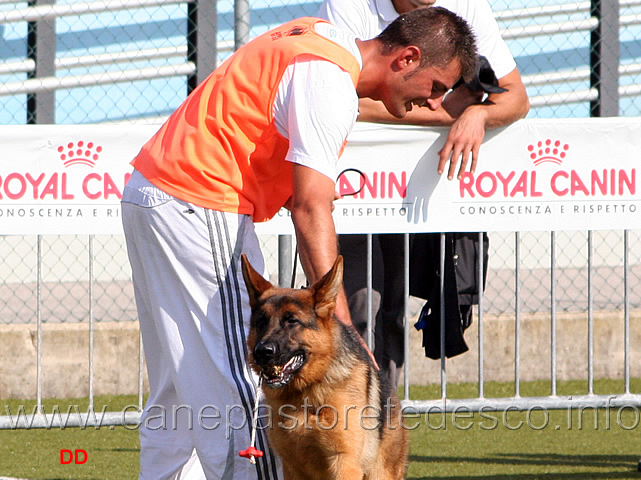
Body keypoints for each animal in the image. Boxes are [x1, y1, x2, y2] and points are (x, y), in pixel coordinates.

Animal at [240, 253, 410, 478]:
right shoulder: (291, 466)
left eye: (292, 321)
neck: (306, 391)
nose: (262, 352)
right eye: (261, 322)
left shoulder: (344, 462)